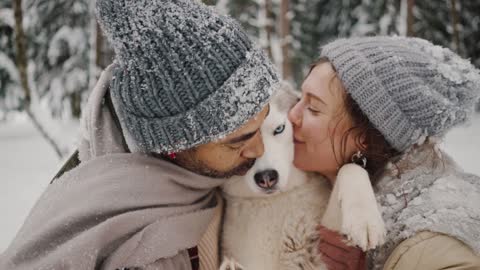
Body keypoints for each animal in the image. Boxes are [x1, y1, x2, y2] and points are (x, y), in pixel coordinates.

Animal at [221, 85, 386, 270]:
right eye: (238, 146)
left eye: (279, 129)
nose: (266, 177)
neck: (278, 199)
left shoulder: (324, 250)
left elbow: (350, 167)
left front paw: (364, 221)